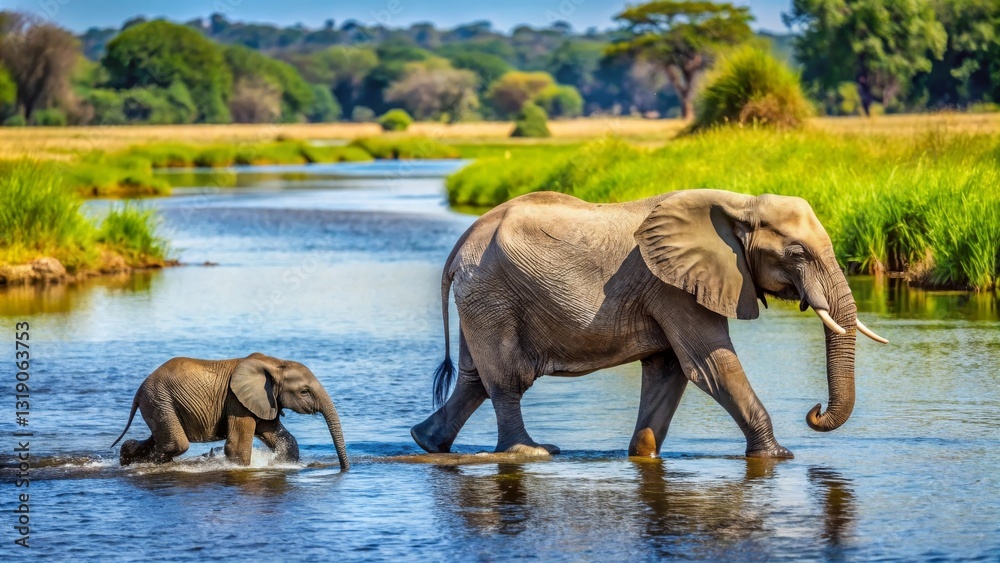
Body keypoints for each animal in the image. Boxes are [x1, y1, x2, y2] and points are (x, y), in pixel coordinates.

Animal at [111, 352, 349, 470]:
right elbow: (237, 447)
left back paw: (128, 458)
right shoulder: (236, 400)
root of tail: (139, 390)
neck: (276, 363)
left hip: (159, 403)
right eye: (304, 391)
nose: (345, 469)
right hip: (160, 400)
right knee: (177, 444)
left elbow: (283, 439)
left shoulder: (264, 400)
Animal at [411, 189, 886, 459]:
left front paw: (641, 456)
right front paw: (777, 457)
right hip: (492, 294)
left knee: (474, 378)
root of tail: (461, 243)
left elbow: (669, 371)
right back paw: (533, 453)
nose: (815, 411)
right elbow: (710, 367)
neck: (740, 203)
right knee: (508, 379)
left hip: (481, 297)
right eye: (797, 253)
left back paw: (426, 442)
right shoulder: (672, 286)